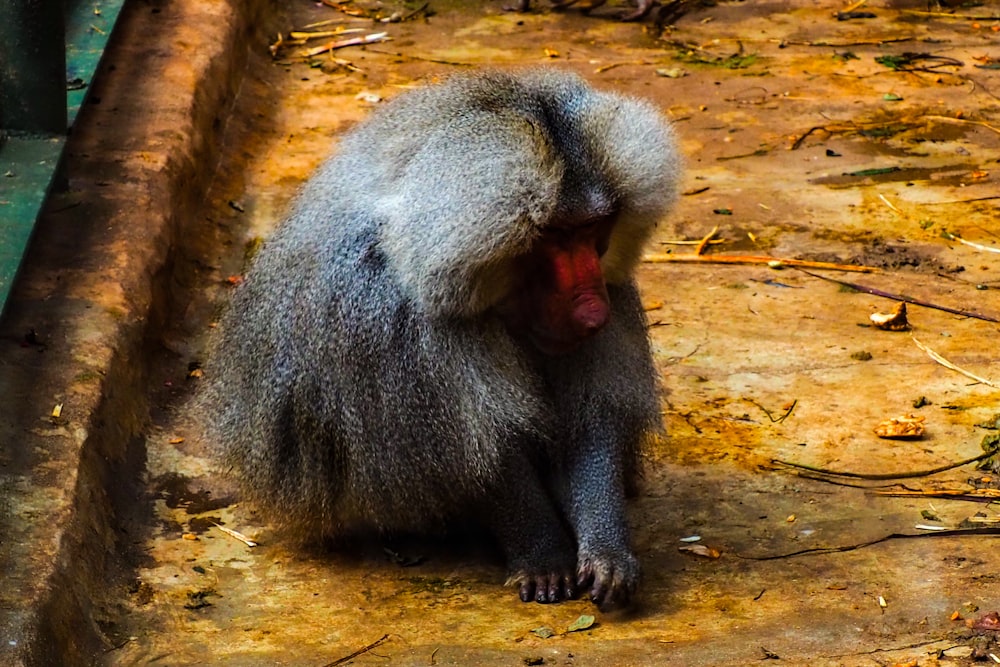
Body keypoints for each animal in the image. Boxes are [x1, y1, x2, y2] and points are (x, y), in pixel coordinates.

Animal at [205, 69, 680, 612]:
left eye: (593, 228)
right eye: (554, 236)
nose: (593, 314)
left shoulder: (611, 289)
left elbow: (590, 420)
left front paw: (606, 554)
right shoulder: (401, 325)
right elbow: (481, 454)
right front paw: (543, 558)